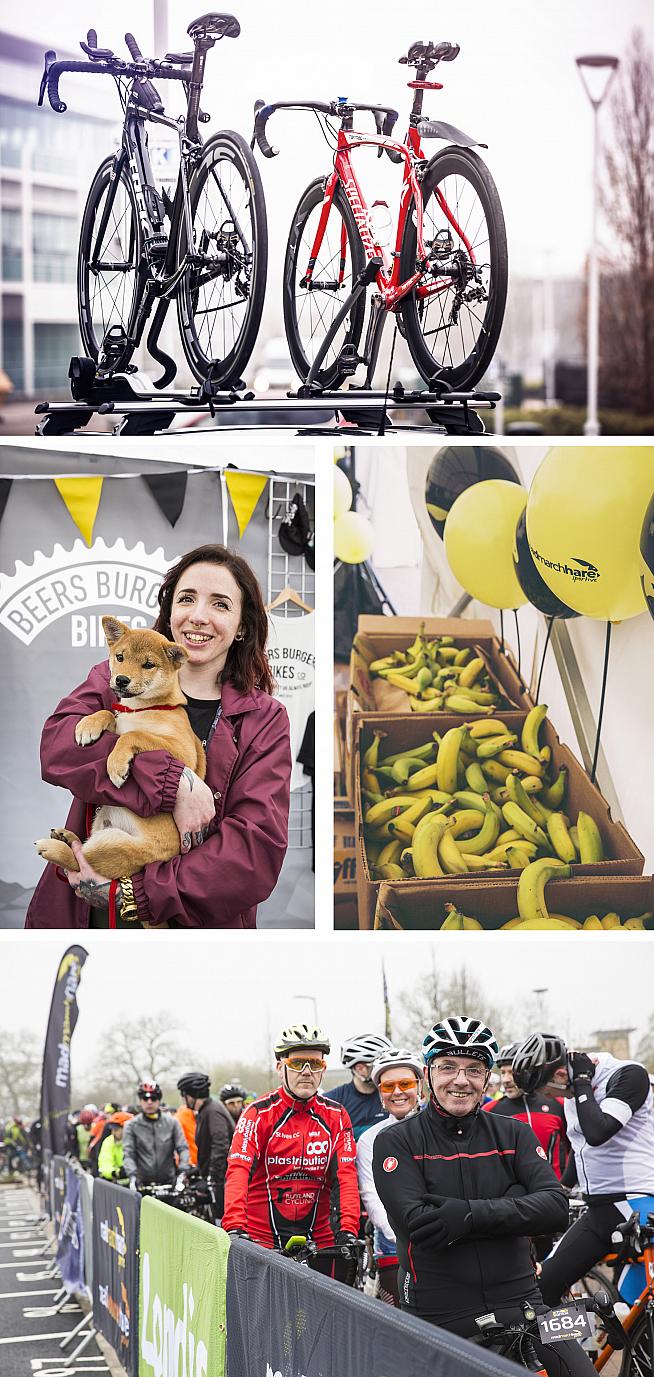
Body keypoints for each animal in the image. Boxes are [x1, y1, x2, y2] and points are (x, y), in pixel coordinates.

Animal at [34, 616, 207, 875]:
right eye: (120, 657)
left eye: (148, 664)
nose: (121, 680)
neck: (138, 709)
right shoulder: (119, 719)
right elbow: (109, 713)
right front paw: (88, 725)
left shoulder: (183, 752)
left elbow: (134, 735)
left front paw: (116, 766)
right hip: (99, 827)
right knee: (81, 849)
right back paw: (65, 836)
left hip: (115, 845)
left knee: (80, 861)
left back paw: (54, 847)